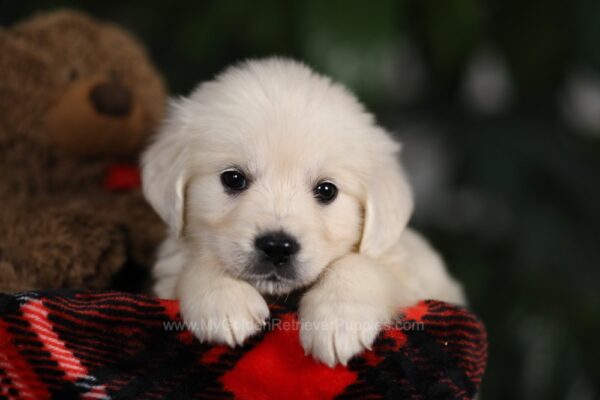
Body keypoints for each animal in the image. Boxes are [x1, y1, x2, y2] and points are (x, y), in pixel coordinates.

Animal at [142, 57, 464, 368]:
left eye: (327, 190)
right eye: (233, 179)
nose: (277, 247)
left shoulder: (407, 273)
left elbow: (360, 265)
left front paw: (336, 322)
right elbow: (195, 263)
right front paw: (224, 300)